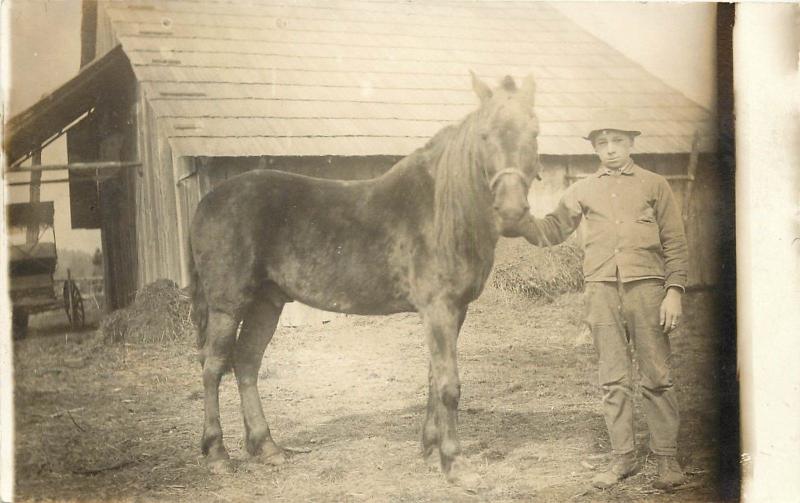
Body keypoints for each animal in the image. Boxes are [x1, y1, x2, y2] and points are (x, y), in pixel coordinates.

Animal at [188, 73, 540, 486]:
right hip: (228, 306)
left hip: (266, 302)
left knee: (246, 363)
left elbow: (433, 378)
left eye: (534, 132)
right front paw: (453, 461)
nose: (513, 212)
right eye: (485, 136)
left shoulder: (455, 311)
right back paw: (217, 454)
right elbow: (448, 385)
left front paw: (429, 448)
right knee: (213, 368)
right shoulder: (439, 309)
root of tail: (207, 201)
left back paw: (267, 447)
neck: (443, 210)